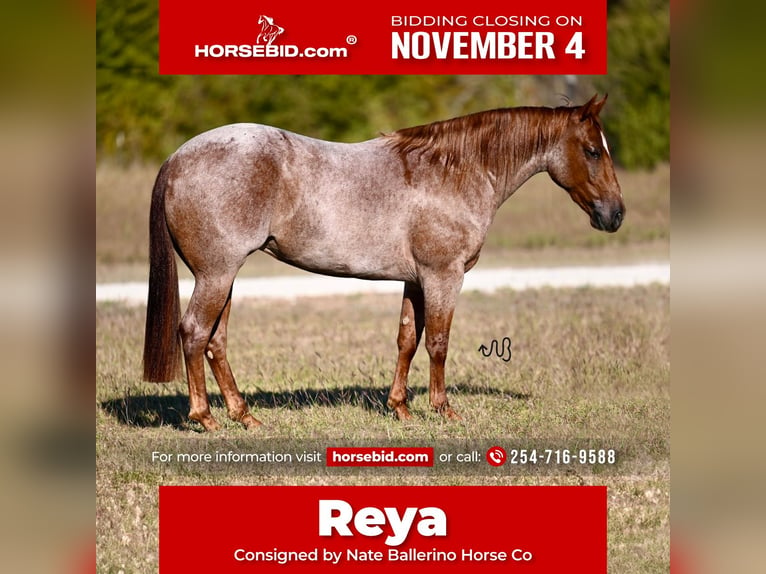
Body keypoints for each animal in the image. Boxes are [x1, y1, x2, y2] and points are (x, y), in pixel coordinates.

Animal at [142, 95, 624, 432]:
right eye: (592, 150)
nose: (615, 214)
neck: (452, 172)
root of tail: (177, 158)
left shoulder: (416, 281)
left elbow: (407, 340)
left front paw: (401, 409)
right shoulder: (443, 276)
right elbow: (439, 343)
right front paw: (443, 410)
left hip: (224, 277)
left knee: (216, 342)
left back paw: (245, 416)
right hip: (216, 274)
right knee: (194, 334)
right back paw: (205, 417)